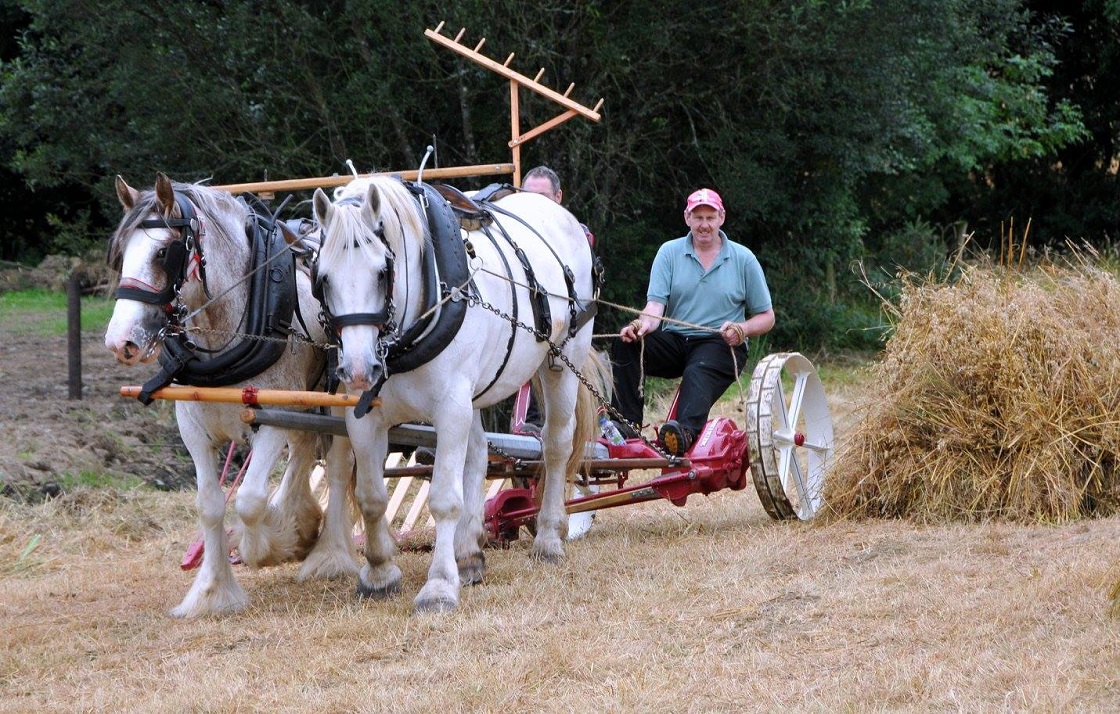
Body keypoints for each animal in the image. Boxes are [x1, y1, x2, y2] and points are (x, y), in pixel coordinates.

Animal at [106, 174, 356, 622]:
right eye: (120, 253)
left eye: (163, 252)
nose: (121, 342)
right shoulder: (193, 428)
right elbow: (209, 504)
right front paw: (211, 591)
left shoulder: (271, 416)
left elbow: (251, 499)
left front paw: (267, 547)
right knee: (305, 448)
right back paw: (301, 525)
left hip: (340, 402)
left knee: (338, 468)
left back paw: (327, 555)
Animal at [311, 179, 600, 617]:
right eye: (323, 277)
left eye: (382, 272)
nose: (359, 369)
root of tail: (559, 212)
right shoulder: (365, 417)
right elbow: (372, 497)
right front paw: (379, 575)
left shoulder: (450, 409)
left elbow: (445, 497)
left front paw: (439, 586)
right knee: (479, 456)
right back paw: (469, 555)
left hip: (562, 361)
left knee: (555, 446)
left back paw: (549, 539)